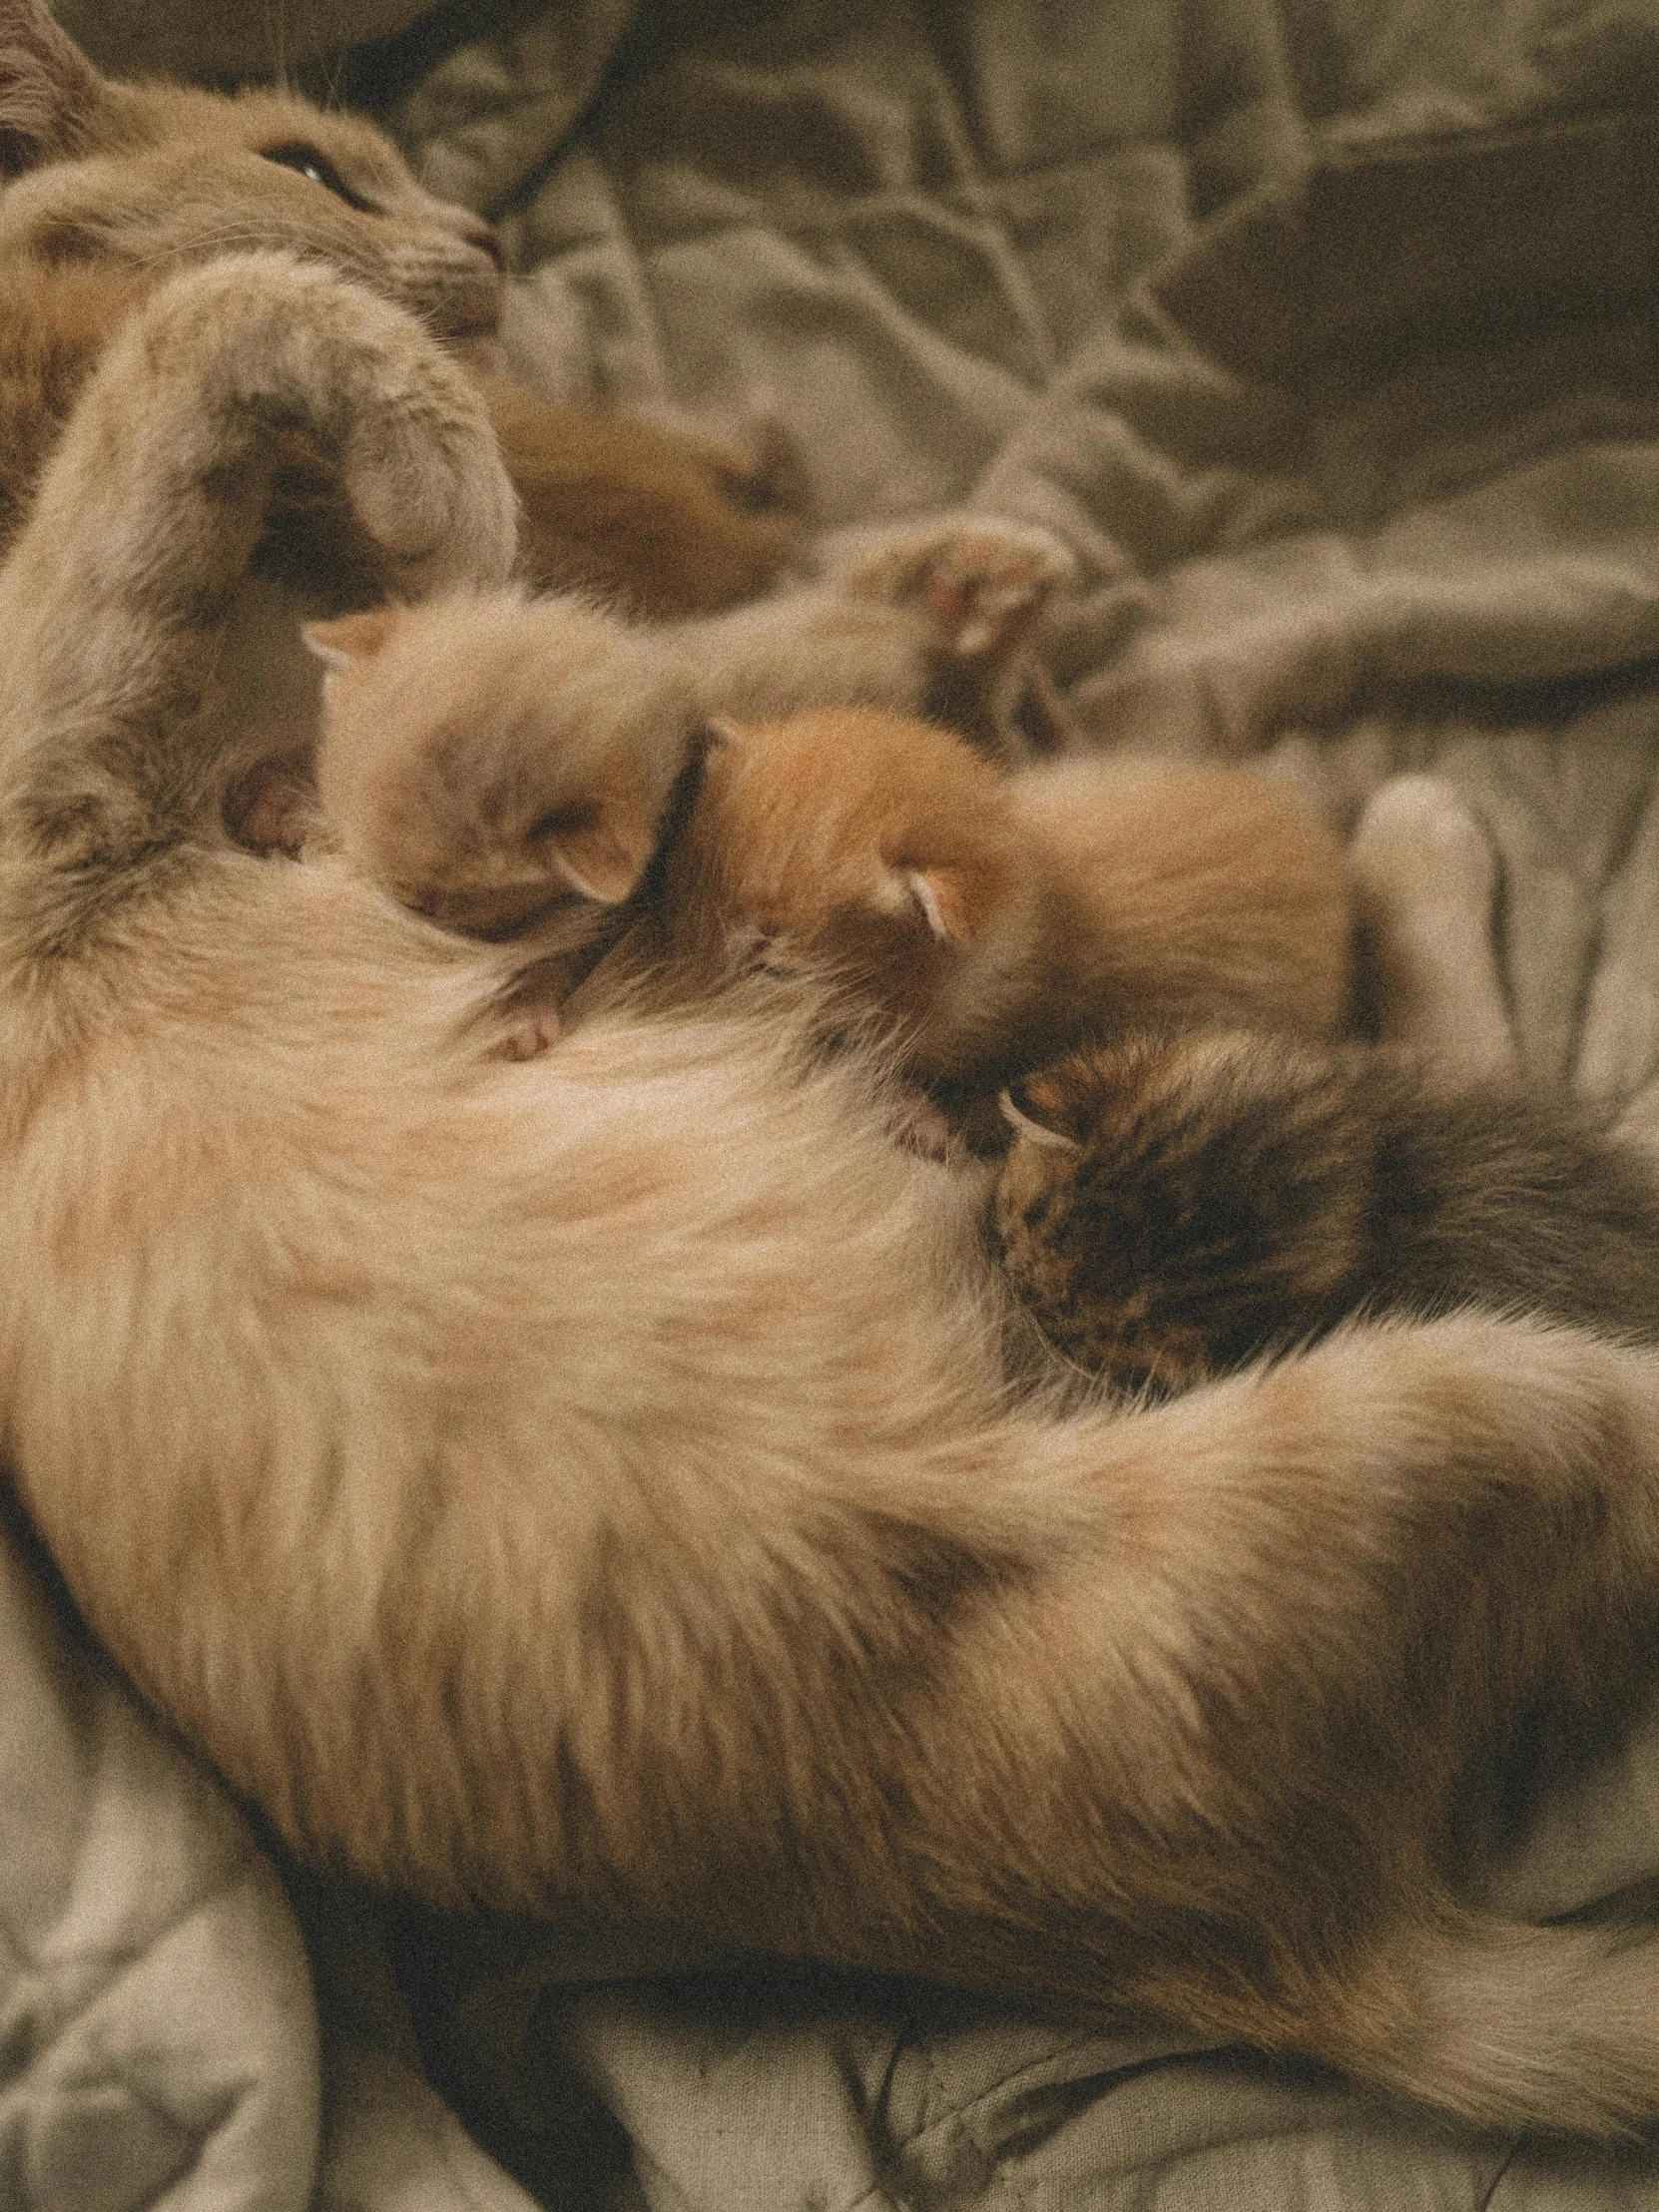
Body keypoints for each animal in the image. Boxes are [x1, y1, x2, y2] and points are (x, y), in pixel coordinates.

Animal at [0, 64, 1659, 2158]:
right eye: (312, 169)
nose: (479, 246)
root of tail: (1314, 1970)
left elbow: (688, 665)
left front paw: (900, 596)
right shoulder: (71, 747)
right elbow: (219, 325)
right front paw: (440, 466)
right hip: (1468, 1399)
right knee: (1457, 1117)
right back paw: (1410, 843)